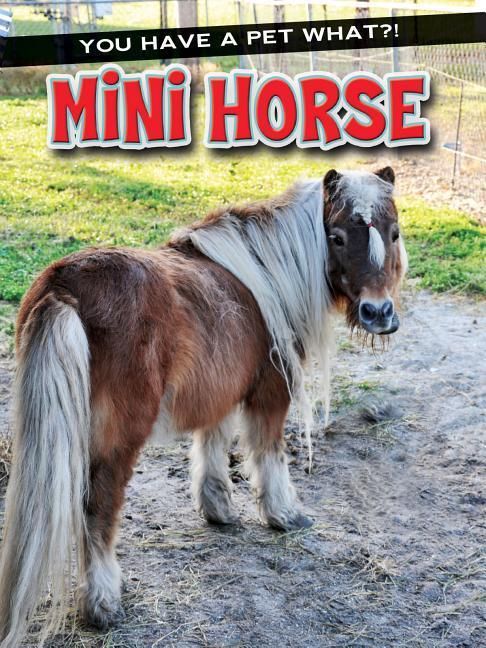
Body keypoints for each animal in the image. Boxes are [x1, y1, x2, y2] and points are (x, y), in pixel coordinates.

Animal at [0, 166, 407, 646]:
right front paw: (284, 514)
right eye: (338, 237)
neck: (270, 272)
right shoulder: (271, 390)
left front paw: (218, 510)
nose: (378, 313)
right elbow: (269, 453)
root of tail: (65, 287)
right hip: (118, 439)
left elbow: (212, 443)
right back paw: (103, 602)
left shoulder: (221, 389)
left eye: (394, 233)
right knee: (97, 509)